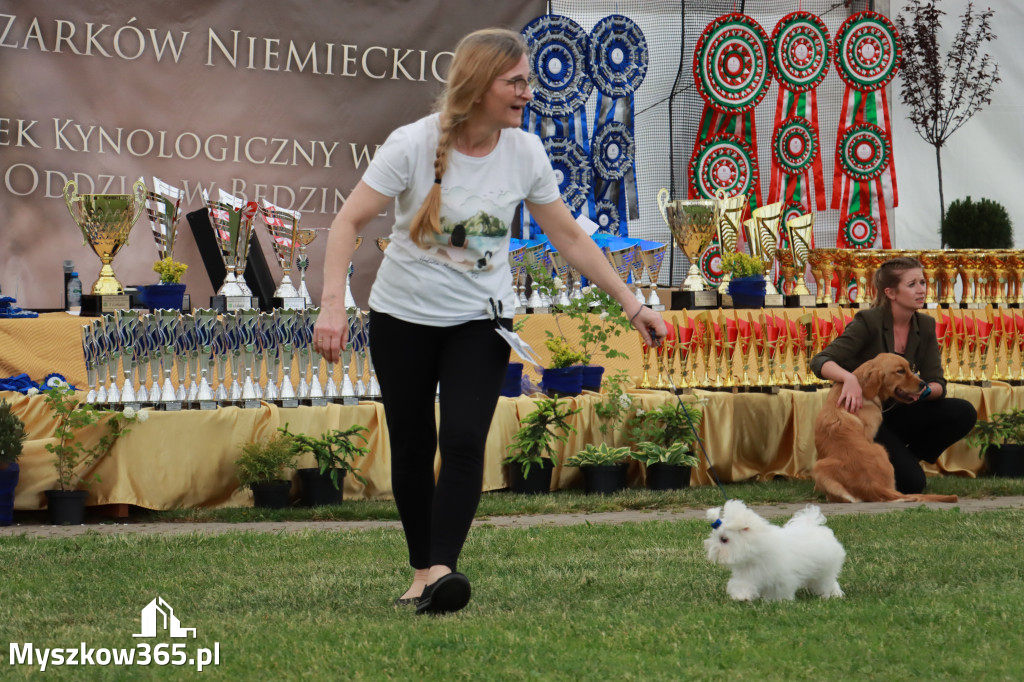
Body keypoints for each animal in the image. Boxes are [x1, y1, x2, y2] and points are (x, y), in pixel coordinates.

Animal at [704, 493, 847, 602]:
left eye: (724, 539)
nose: (712, 550)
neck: (758, 552)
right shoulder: (747, 575)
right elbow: (742, 585)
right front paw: (741, 596)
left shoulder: (782, 577)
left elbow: (779, 589)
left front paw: (777, 600)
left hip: (825, 571)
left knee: (828, 582)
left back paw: (832, 594)